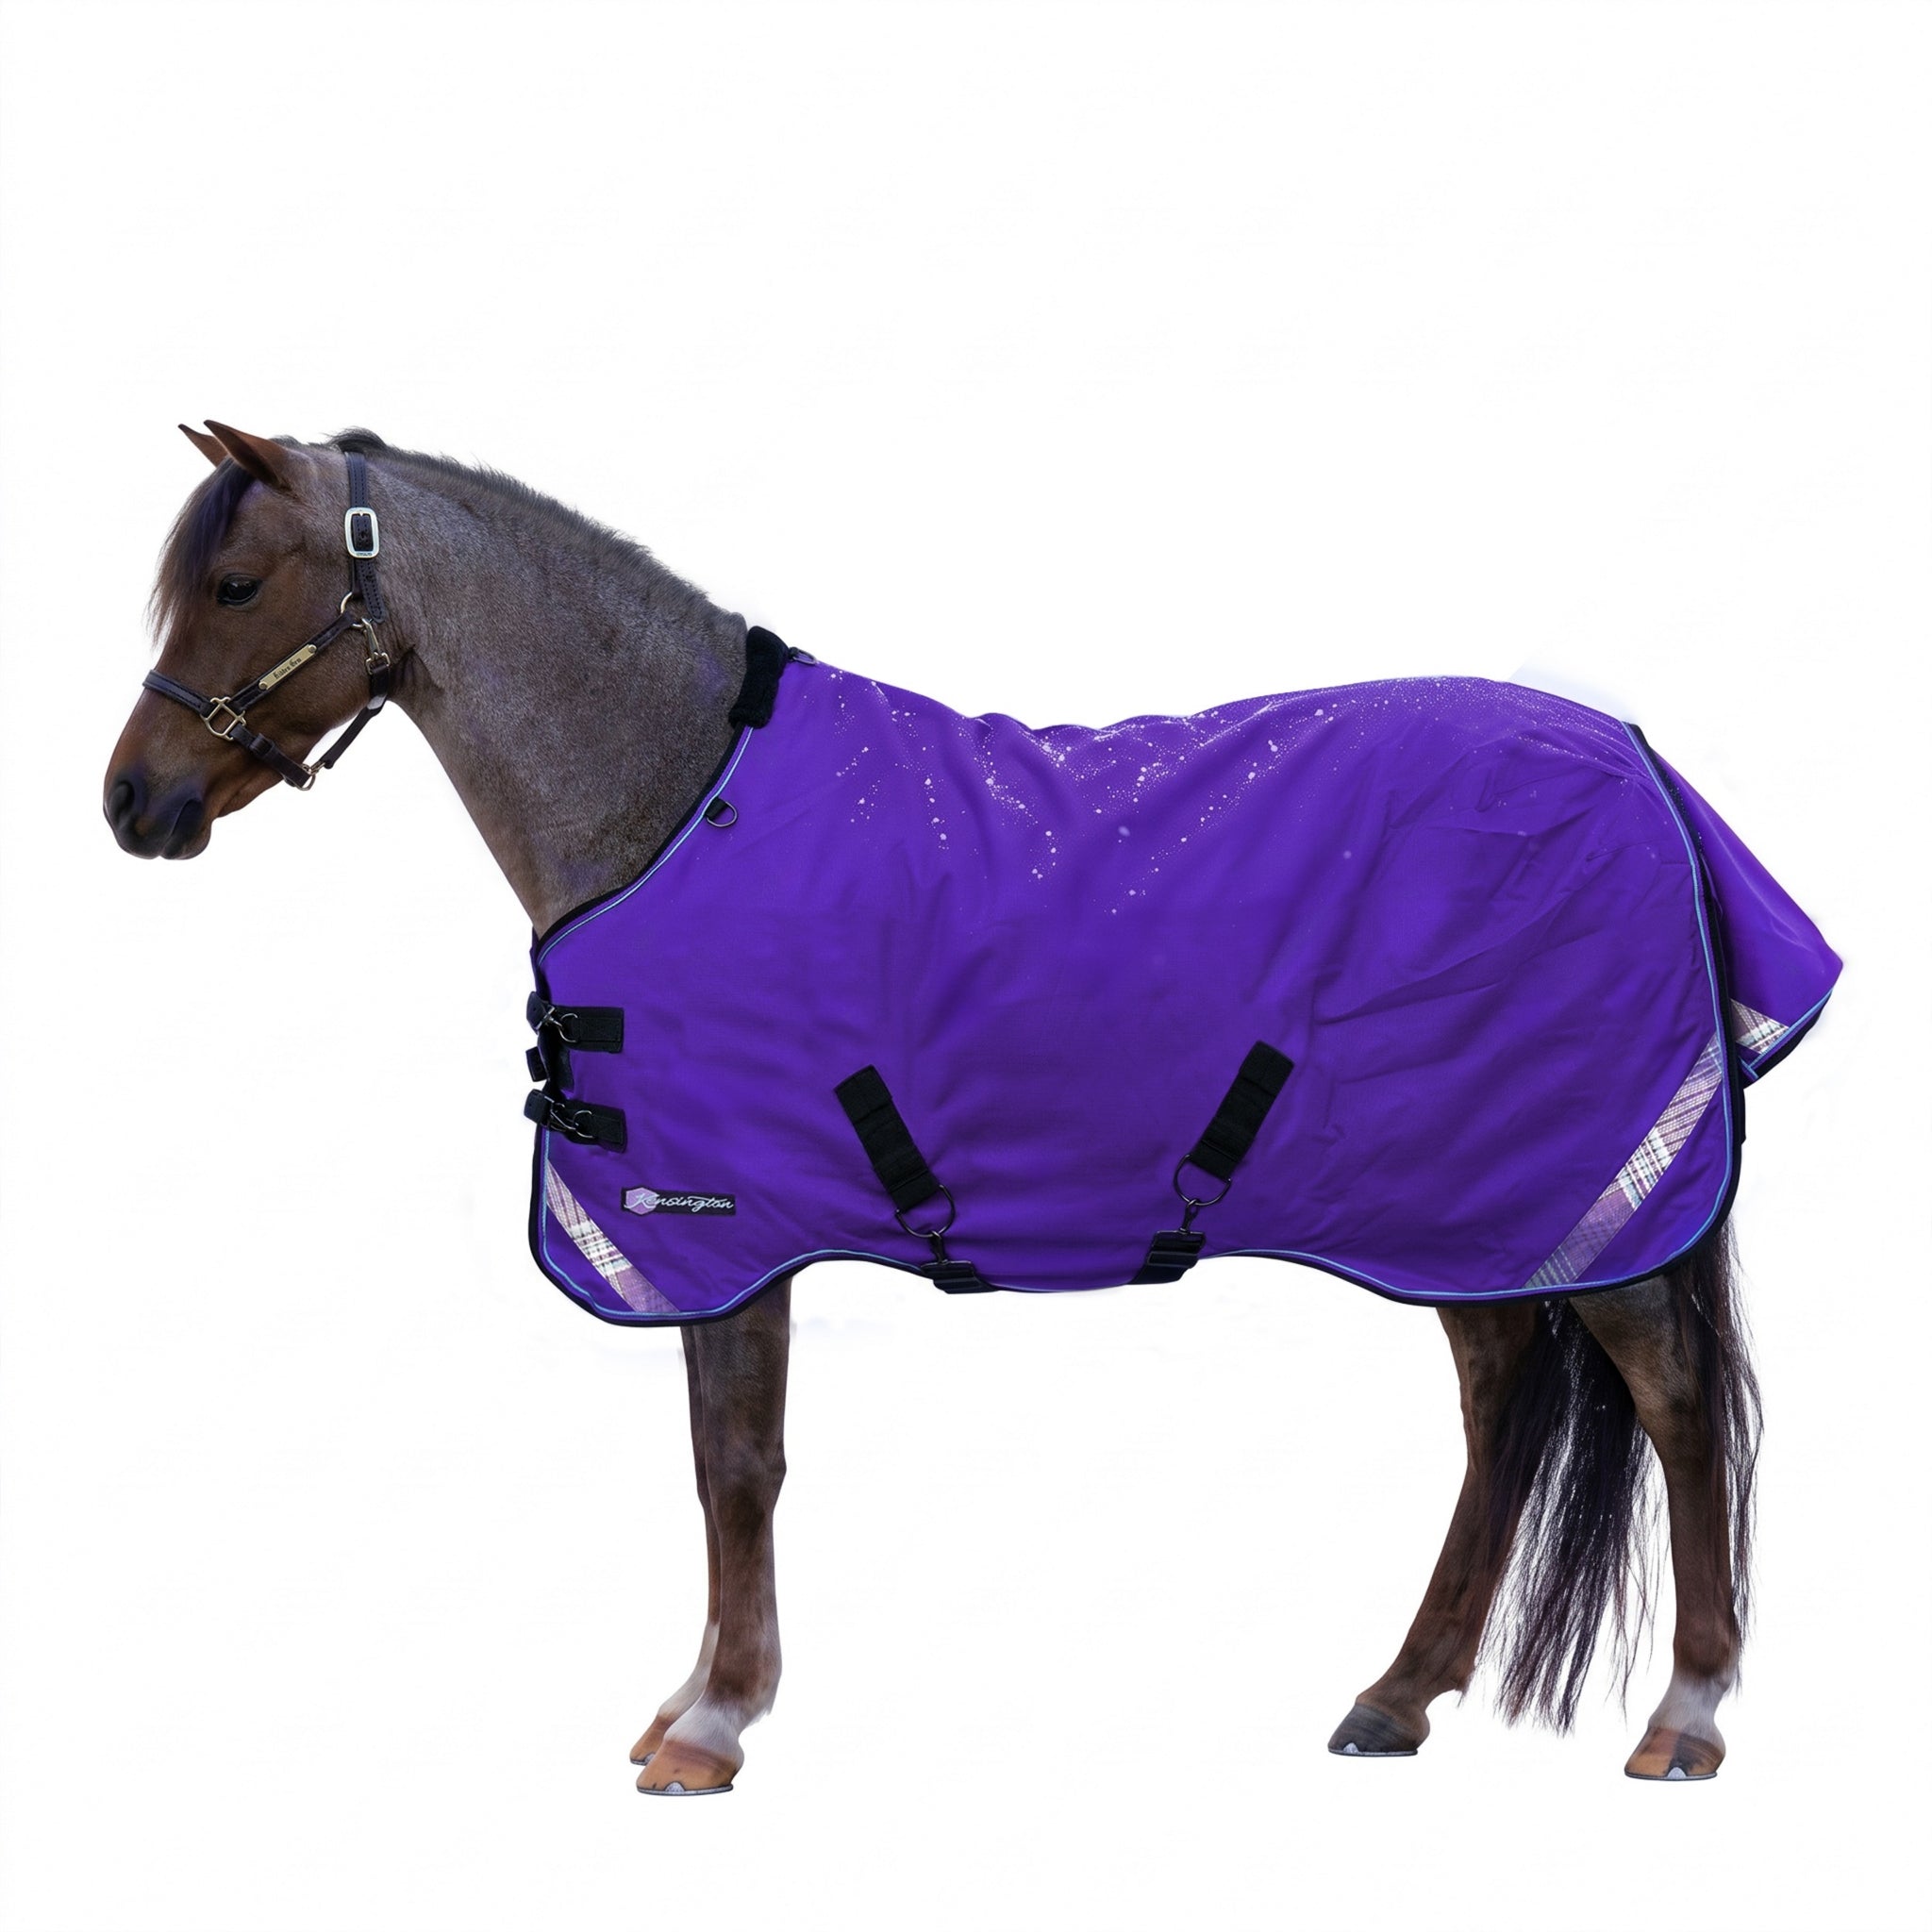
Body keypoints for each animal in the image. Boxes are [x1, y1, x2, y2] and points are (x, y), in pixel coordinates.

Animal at [105, 420, 1826, 1796]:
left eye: (237, 584)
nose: (133, 802)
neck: (674, 795)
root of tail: (1637, 762)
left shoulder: (727, 1228)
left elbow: (738, 1462)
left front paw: (713, 1723)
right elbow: (724, 1460)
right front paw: (699, 1697)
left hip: (1563, 1189)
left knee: (1673, 1404)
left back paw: (1685, 1712)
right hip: (1468, 1203)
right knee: (1498, 1410)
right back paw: (1397, 1696)